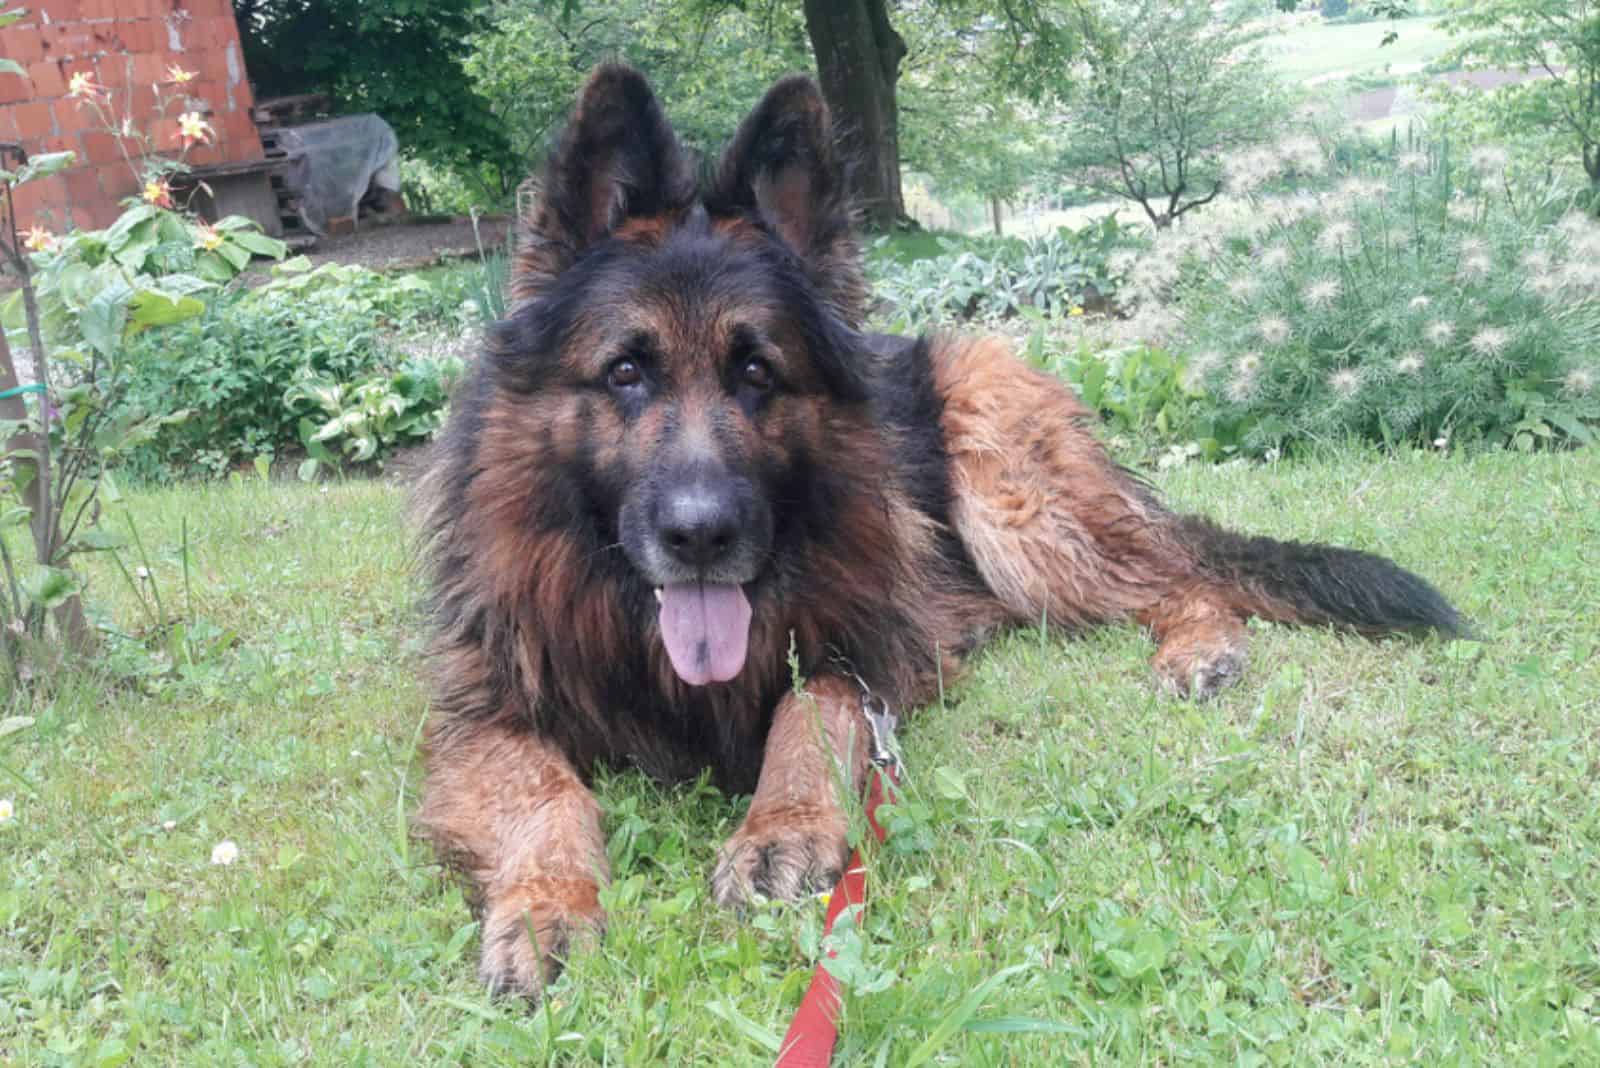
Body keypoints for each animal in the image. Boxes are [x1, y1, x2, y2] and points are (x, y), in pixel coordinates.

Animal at [412, 62, 1465, 997]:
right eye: (626, 372)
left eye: (758, 372)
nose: (702, 536)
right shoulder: (482, 715)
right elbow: (545, 793)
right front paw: (544, 908)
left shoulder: (865, 652)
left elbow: (808, 713)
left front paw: (780, 827)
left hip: (1012, 506)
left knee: (1176, 574)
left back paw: (1199, 647)